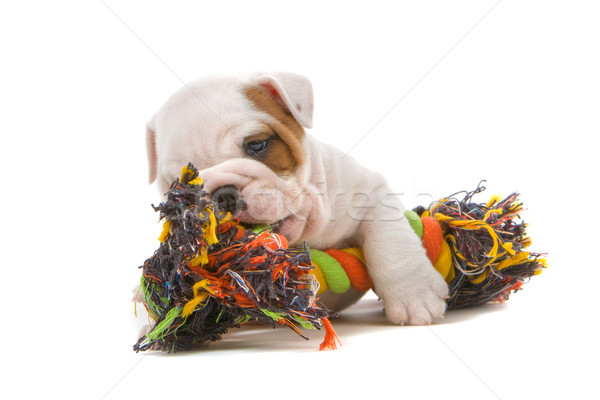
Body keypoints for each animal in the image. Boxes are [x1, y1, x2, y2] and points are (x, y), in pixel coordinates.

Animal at [145, 70, 448, 324]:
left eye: (257, 145)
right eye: (181, 185)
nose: (222, 194)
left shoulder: (370, 191)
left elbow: (391, 243)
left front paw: (413, 295)